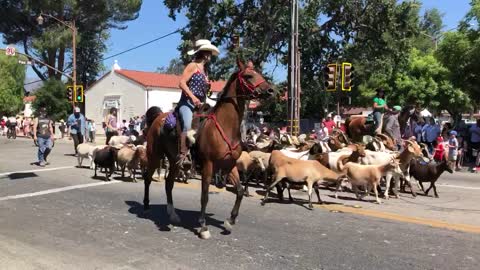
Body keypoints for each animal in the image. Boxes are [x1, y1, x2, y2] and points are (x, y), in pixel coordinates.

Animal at [142, 58, 274, 239]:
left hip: (175, 161)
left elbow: (240, 191)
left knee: (169, 183)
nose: (270, 90)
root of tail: (157, 118)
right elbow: (204, 196)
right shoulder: (208, 165)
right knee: (148, 178)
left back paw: (173, 214)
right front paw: (203, 226)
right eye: (248, 76)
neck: (225, 126)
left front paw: (230, 220)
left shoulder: (229, 165)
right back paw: (146, 205)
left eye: (259, 73)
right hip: (155, 155)